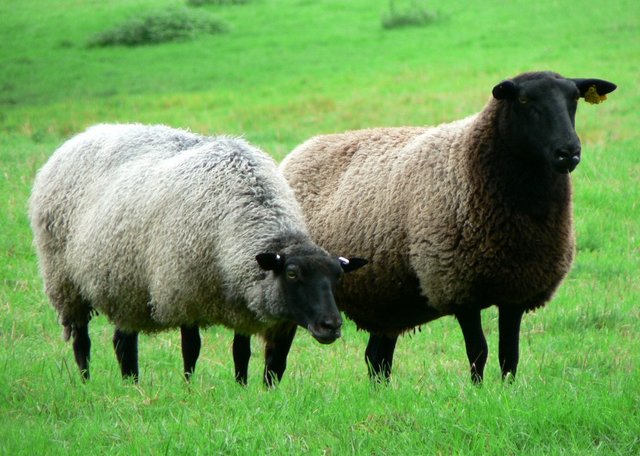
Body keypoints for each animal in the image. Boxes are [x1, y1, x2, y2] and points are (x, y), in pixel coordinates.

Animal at [29, 123, 367, 386]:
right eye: (293, 274)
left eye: (337, 278)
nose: (331, 326)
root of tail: (79, 137)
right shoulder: (184, 292)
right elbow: (191, 348)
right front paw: (189, 387)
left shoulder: (241, 302)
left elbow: (244, 353)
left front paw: (243, 388)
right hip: (65, 281)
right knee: (82, 340)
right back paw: (87, 382)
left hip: (125, 284)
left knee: (123, 341)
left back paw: (131, 384)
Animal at [280, 71, 616, 383]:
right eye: (523, 100)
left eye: (574, 99)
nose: (569, 152)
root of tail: (301, 150)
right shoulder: (458, 286)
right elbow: (478, 351)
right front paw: (479, 395)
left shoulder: (516, 291)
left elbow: (509, 355)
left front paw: (507, 393)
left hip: (386, 296)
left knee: (377, 358)